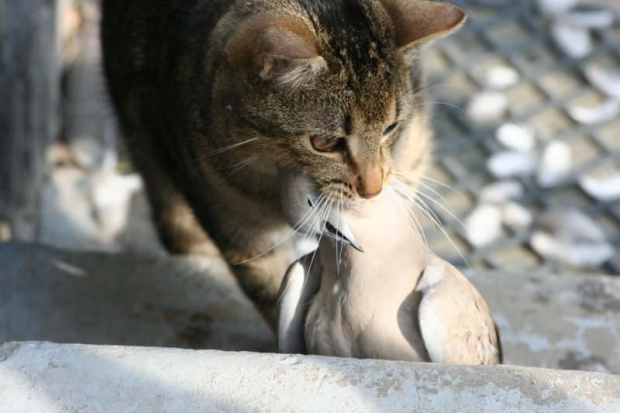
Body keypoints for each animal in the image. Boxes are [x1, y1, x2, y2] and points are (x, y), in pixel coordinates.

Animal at [100, 0, 464, 316]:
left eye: (391, 127)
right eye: (325, 142)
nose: (371, 189)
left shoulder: (413, 150)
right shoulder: (239, 233)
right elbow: (273, 292)